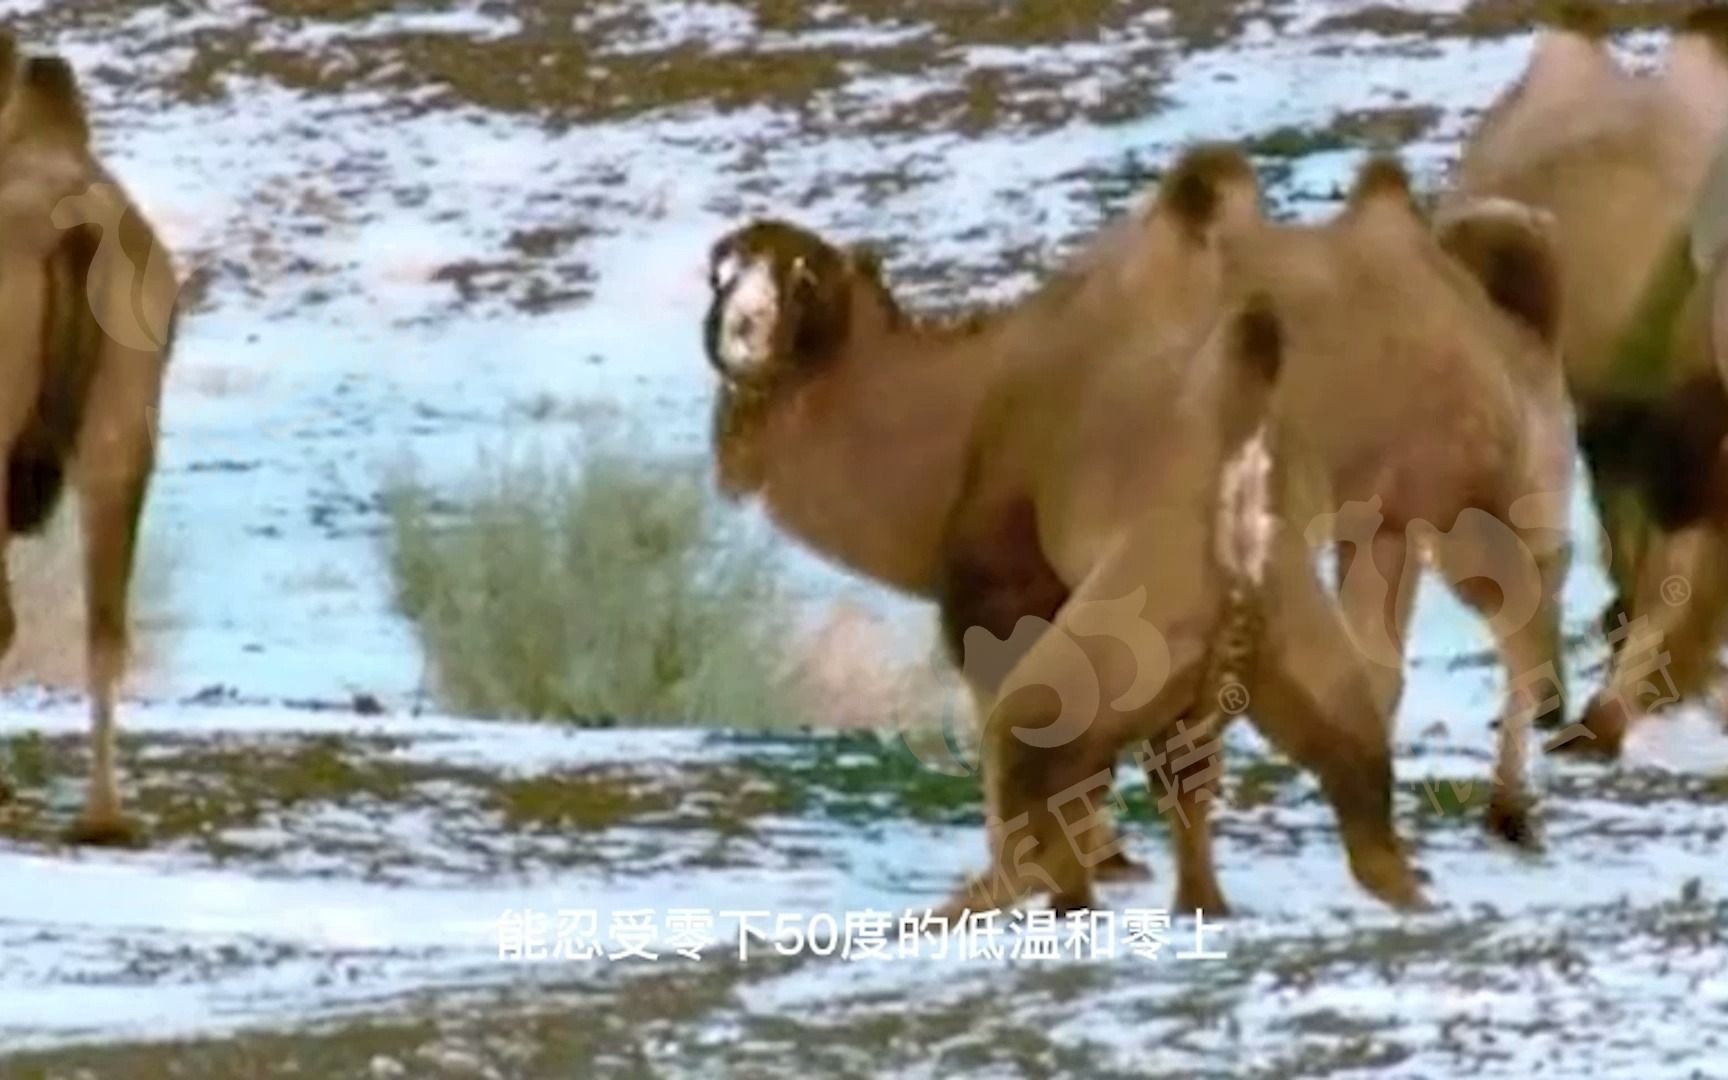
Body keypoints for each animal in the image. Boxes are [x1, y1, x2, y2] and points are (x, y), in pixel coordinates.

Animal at [708, 145, 1575, 919]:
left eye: (802, 279)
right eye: (716, 273)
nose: (737, 330)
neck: (971, 408)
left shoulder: (1005, 589)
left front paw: (1096, 866)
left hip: (1481, 496)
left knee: (1521, 618)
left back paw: (1510, 813)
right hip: (1387, 522)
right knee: (1390, 666)